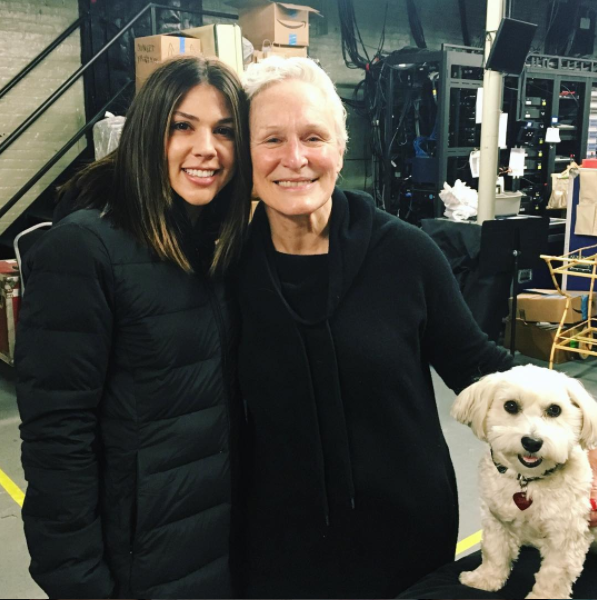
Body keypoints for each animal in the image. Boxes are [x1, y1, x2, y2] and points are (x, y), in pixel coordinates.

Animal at [451, 364, 597, 599]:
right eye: (510, 405)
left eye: (555, 410)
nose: (532, 442)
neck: (527, 481)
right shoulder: (495, 520)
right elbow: (494, 551)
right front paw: (485, 579)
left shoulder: (566, 537)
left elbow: (554, 575)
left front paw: (543, 597)